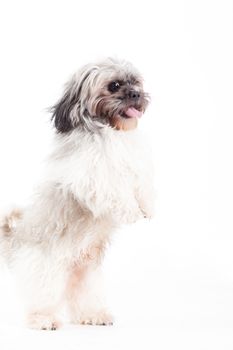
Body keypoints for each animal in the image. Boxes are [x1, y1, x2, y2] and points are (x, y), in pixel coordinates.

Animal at [0, 56, 155, 328]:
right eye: (114, 85)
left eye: (135, 82)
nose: (136, 94)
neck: (109, 132)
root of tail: (15, 244)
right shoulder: (90, 177)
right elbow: (115, 192)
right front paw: (131, 211)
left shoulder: (134, 162)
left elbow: (141, 183)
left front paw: (146, 206)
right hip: (45, 272)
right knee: (39, 299)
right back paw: (43, 319)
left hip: (85, 273)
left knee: (80, 298)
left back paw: (93, 315)